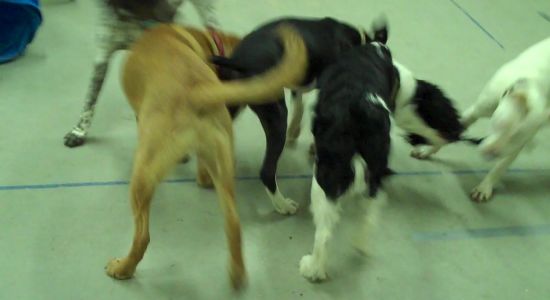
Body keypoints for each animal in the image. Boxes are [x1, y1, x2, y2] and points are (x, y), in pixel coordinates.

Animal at [105, 24, 308, 290]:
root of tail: (196, 91)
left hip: (142, 176)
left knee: (143, 237)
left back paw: (123, 268)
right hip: (218, 161)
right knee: (232, 222)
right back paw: (237, 275)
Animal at [213, 16, 390, 214]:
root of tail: (238, 60)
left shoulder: (298, 85)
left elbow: (300, 106)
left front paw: (294, 132)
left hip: (230, 106)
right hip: (276, 115)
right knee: (267, 171)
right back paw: (283, 205)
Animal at [462, 37, 550, 202]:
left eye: (515, 138)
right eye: (501, 124)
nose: (491, 155)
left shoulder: (516, 146)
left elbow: (500, 166)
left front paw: (485, 187)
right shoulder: (474, 112)